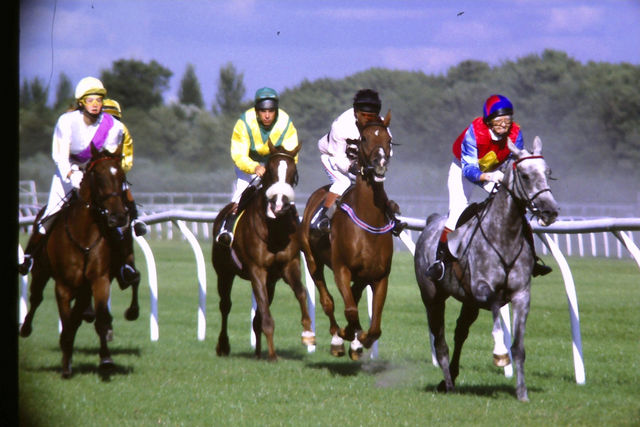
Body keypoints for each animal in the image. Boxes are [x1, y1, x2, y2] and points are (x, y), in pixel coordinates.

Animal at [20, 144, 134, 378]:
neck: (83, 235)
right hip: (41, 272)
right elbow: (65, 320)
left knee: (78, 314)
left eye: (121, 176)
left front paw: (106, 360)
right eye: (98, 176)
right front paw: (66, 365)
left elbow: (98, 319)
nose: (118, 216)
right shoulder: (63, 286)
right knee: (36, 298)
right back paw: (26, 328)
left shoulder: (98, 280)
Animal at [211, 141, 314, 362]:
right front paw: (273, 355)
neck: (273, 231)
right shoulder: (257, 270)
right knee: (225, 305)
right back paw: (223, 346)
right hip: (224, 273)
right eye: (270, 171)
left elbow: (301, 292)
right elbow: (265, 315)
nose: (280, 204)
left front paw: (308, 334)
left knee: (257, 315)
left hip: (271, 282)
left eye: (293, 173)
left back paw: (258, 352)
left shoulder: (288, 266)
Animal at [300, 112, 396, 360]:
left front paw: (360, 339)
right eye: (364, 139)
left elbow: (374, 327)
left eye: (389, 140)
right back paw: (337, 338)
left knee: (353, 295)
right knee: (328, 301)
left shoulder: (379, 276)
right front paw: (346, 335)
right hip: (313, 260)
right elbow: (350, 309)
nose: (380, 164)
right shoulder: (341, 269)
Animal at [412, 137, 556, 402]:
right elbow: (497, 309)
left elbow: (519, 346)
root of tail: (432, 221)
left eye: (547, 172)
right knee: (440, 341)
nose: (550, 210)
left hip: (468, 302)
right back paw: (448, 383)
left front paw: (522, 392)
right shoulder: (482, 290)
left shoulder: (521, 295)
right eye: (525, 175)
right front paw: (499, 353)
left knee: (460, 332)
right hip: (432, 296)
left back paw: (451, 377)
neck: (505, 236)